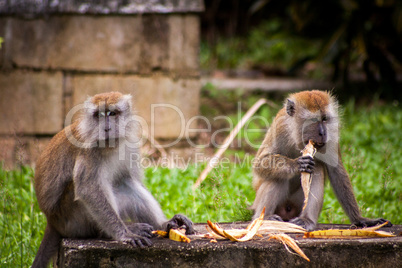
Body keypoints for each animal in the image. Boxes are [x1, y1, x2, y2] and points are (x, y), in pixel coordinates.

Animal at [31, 92, 195, 268]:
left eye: (111, 113)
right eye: (99, 115)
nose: (106, 128)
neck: (110, 146)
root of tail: (51, 221)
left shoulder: (130, 146)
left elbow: (132, 179)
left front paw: (165, 223)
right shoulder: (88, 153)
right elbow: (88, 190)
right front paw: (124, 234)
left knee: (126, 183)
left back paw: (165, 224)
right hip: (70, 220)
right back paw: (110, 232)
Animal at [250, 90, 392, 230]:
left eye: (324, 119)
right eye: (313, 120)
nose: (323, 133)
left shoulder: (332, 134)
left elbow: (336, 171)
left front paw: (360, 219)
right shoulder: (280, 128)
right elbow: (260, 163)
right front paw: (295, 164)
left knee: (316, 167)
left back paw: (306, 219)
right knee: (278, 176)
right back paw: (264, 218)